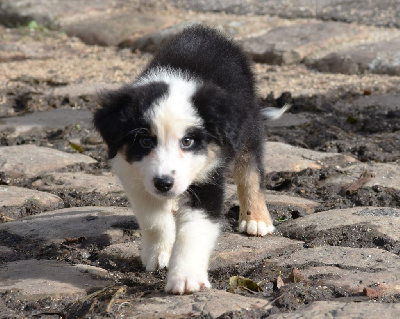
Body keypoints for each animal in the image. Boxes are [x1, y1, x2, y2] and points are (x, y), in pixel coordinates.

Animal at [94, 25, 284, 296]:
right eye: (145, 141)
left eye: (187, 141)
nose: (164, 184)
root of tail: (207, 31)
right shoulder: (134, 176)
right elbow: (154, 220)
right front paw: (159, 253)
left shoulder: (209, 178)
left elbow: (194, 230)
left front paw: (185, 278)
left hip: (248, 129)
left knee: (250, 173)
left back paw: (256, 219)